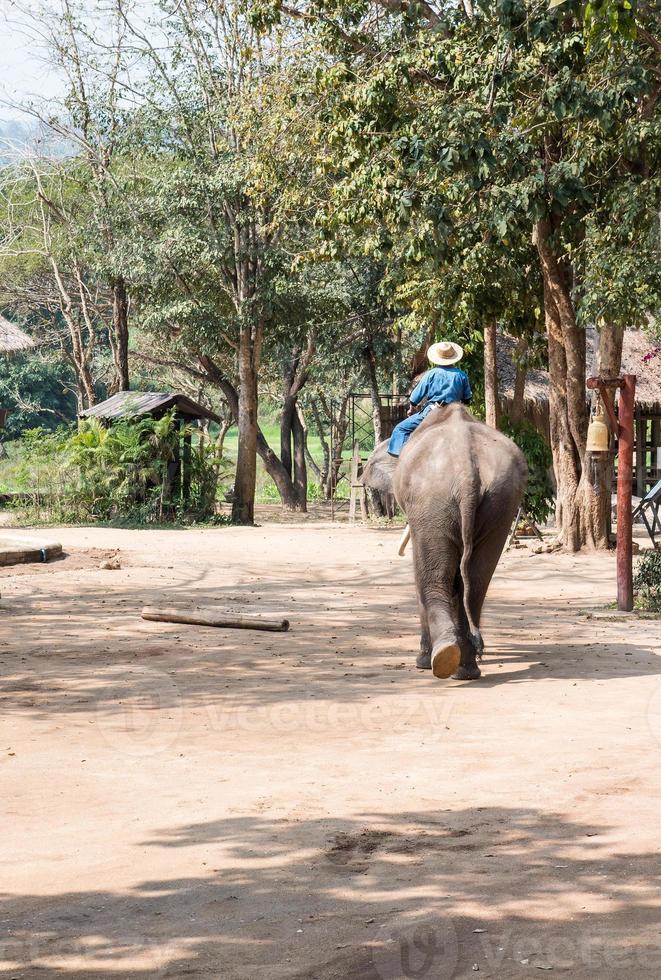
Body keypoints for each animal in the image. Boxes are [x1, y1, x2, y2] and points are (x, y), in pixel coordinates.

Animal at [364, 406, 524, 680]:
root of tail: (466, 471)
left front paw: (421, 662)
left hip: (431, 500)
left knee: (432, 577)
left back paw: (440, 659)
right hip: (501, 500)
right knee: (476, 582)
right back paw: (465, 669)